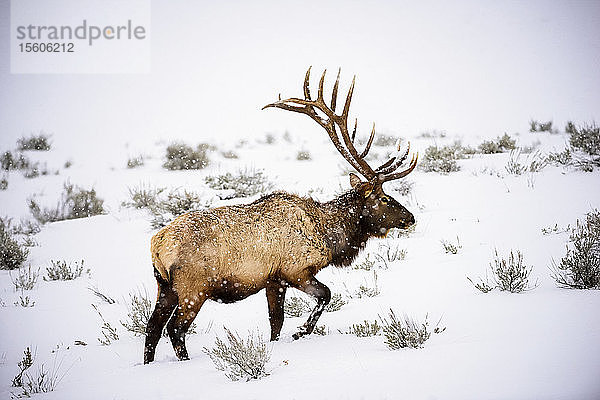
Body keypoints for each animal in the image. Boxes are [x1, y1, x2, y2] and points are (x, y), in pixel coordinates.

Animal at [145, 68, 418, 362]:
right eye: (384, 198)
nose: (411, 218)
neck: (328, 236)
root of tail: (158, 245)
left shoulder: (273, 280)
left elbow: (276, 322)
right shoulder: (294, 270)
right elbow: (324, 295)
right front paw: (300, 332)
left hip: (164, 286)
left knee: (152, 328)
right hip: (193, 287)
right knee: (175, 329)